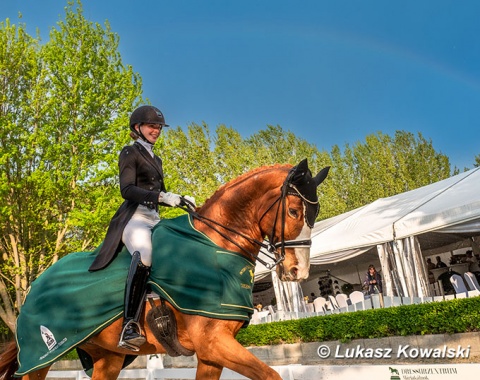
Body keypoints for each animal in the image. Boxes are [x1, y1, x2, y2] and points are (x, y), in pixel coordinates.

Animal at [0, 159, 328, 378]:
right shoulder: (213, 344)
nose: (298, 271)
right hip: (39, 359)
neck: (216, 244)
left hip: (108, 357)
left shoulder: (211, 354)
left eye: (316, 212)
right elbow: (271, 374)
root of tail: (32, 289)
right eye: (294, 211)